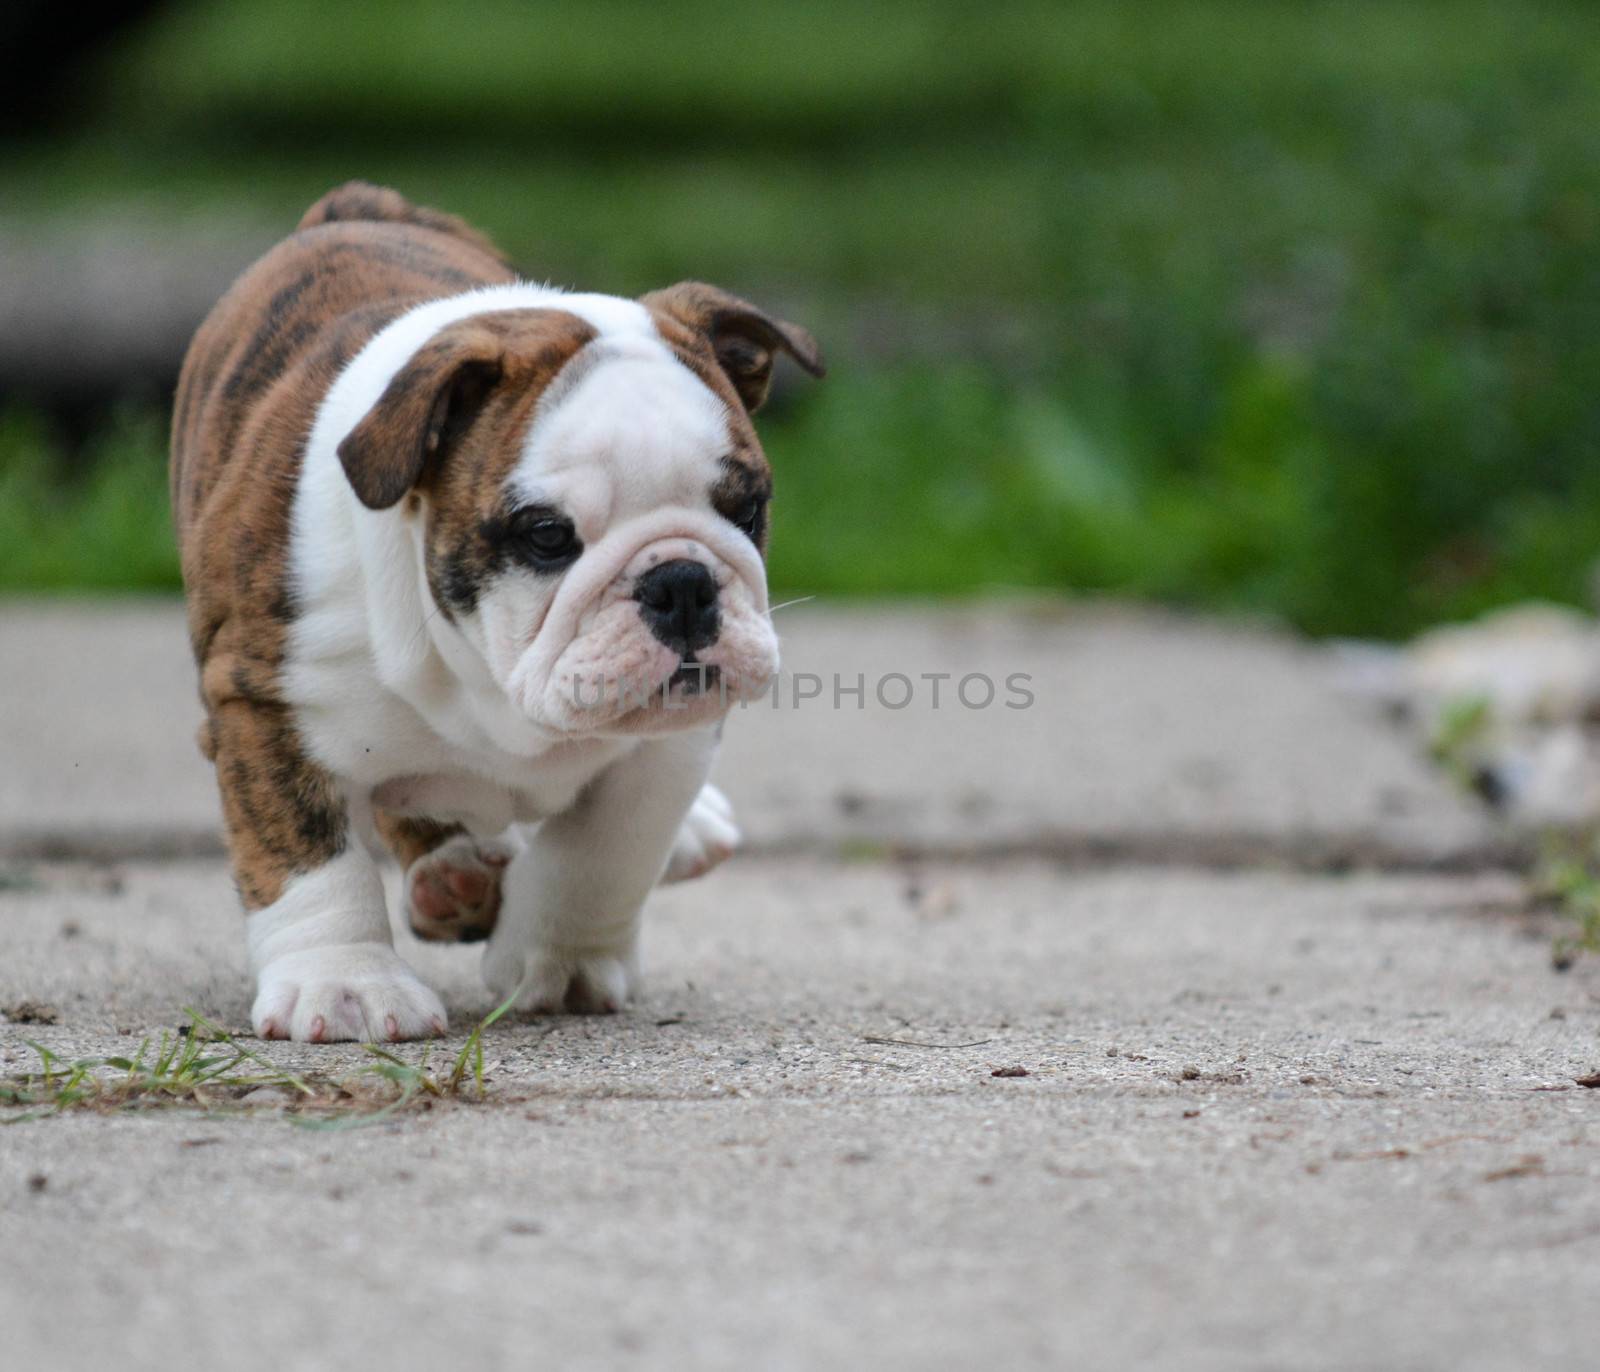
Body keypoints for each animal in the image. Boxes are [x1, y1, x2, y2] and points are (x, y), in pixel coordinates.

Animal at [175, 179, 825, 1036]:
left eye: (746, 508)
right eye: (547, 535)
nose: (682, 582)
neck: (488, 673)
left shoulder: (670, 745)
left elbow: (607, 849)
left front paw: (562, 959)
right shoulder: (263, 701)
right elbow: (309, 858)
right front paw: (345, 983)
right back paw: (455, 876)